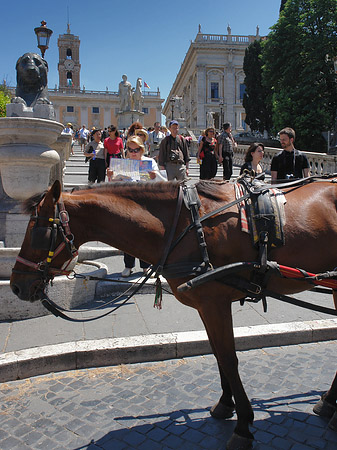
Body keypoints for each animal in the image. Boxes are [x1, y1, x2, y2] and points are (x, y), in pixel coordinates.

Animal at [9, 178, 334, 448]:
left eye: (38, 232)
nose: (16, 285)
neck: (186, 227)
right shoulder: (207, 305)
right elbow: (218, 355)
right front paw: (224, 405)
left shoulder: (215, 302)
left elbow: (229, 359)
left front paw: (243, 425)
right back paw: (328, 403)